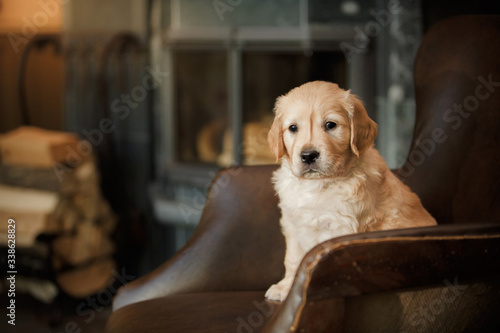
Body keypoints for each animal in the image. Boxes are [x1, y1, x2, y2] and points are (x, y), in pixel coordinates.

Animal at [266, 81, 434, 300]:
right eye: (293, 128)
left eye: (330, 125)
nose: (308, 155)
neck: (318, 184)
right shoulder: (293, 224)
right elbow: (293, 259)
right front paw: (285, 287)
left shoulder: (341, 229)